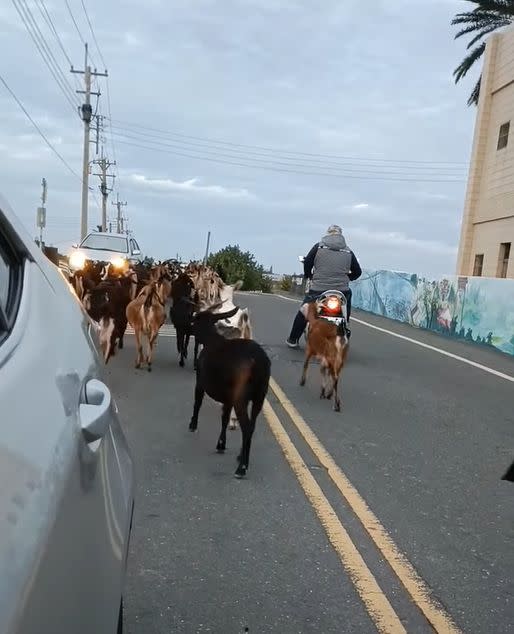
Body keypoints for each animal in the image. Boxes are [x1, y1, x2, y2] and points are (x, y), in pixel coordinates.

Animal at [187, 304, 268, 476]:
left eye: (196, 320)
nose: (190, 329)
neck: (210, 340)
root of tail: (259, 364)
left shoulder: (200, 382)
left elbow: (197, 404)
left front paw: (193, 425)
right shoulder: (228, 397)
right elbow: (224, 418)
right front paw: (221, 444)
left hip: (241, 398)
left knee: (246, 427)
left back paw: (242, 468)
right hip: (259, 397)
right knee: (252, 425)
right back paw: (241, 457)